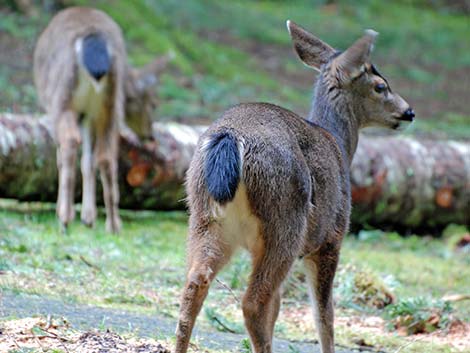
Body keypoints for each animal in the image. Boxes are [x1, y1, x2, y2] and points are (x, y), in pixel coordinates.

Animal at [34, 6, 171, 232]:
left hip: (62, 96)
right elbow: (88, 161)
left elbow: (63, 157)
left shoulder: (56, 108)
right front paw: (88, 217)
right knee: (105, 157)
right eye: (153, 104)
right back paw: (113, 223)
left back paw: (65, 217)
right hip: (108, 105)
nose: (150, 135)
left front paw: (71, 212)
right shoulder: (90, 115)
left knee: (70, 142)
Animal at [176, 21, 414, 352]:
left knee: (196, 281)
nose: (409, 112)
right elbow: (324, 315)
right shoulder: (331, 237)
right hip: (286, 219)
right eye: (381, 86)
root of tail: (230, 138)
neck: (339, 145)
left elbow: (279, 309)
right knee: (253, 302)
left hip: (204, 215)